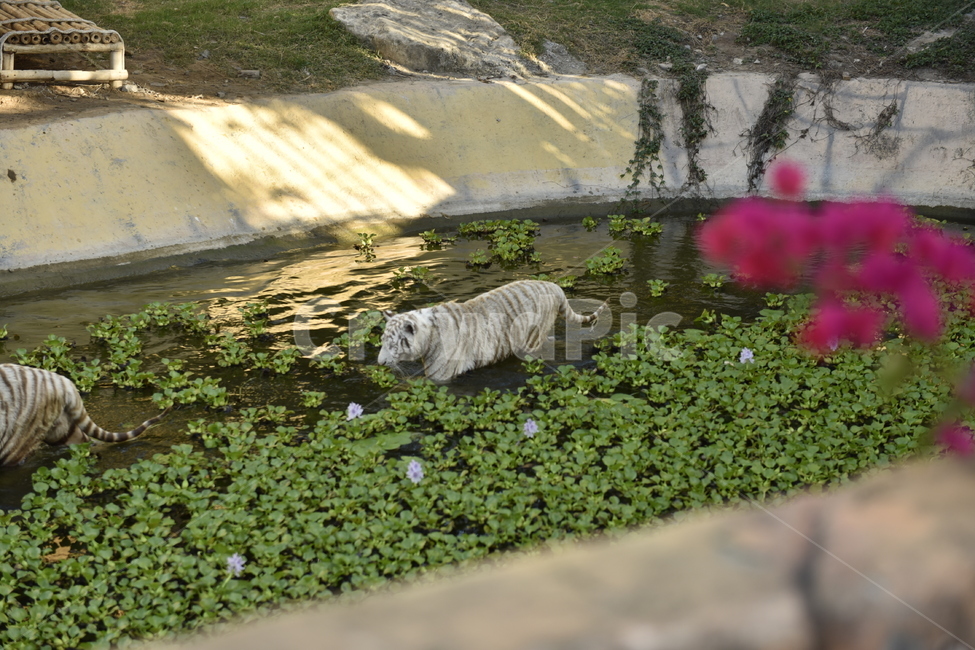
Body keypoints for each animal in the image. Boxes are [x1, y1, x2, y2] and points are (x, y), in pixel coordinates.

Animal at [377, 280, 608, 382]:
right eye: (382, 341)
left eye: (393, 344)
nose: (379, 363)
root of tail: (555, 286)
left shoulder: (440, 376)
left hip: (530, 341)